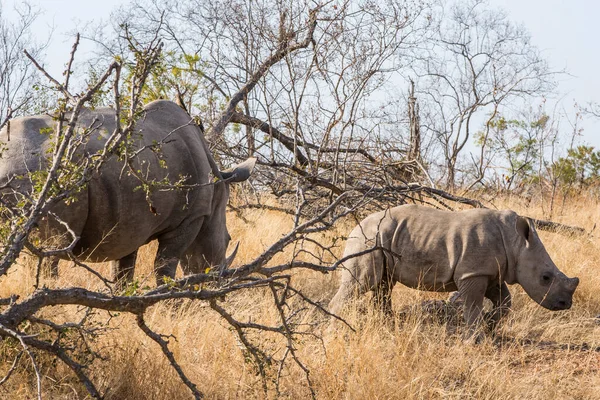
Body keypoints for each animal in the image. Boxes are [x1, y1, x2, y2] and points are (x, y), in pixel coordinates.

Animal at [0, 101, 254, 286]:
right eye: (228, 239)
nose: (217, 285)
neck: (218, 182)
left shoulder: (128, 223)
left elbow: (123, 268)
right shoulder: (192, 217)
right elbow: (164, 266)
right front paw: (170, 303)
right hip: (38, 174)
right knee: (50, 251)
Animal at [330, 203, 580, 338]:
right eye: (545, 278)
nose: (565, 304)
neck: (516, 243)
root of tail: (354, 226)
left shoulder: (490, 272)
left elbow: (505, 302)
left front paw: (490, 325)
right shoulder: (473, 273)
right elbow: (473, 305)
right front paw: (476, 338)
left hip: (380, 239)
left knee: (384, 284)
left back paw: (387, 326)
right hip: (367, 240)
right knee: (361, 284)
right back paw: (336, 331)